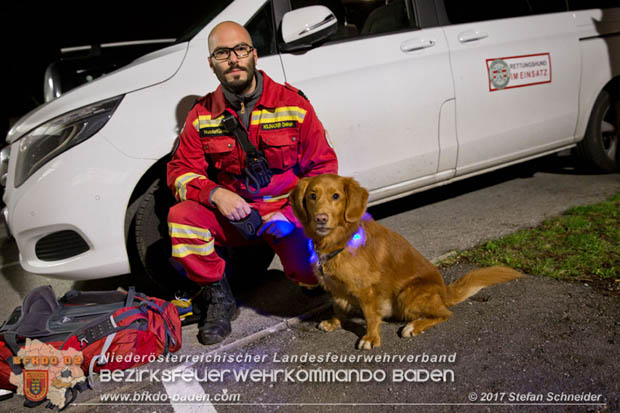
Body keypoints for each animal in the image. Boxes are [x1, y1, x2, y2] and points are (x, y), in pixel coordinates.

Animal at [290, 173, 524, 348]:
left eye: (336, 196)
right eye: (312, 196)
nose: (320, 218)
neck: (339, 242)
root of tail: (443, 291)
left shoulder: (367, 290)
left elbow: (371, 316)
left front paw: (371, 338)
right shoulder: (336, 288)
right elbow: (337, 307)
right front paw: (335, 322)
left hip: (407, 295)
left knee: (445, 313)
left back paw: (414, 326)